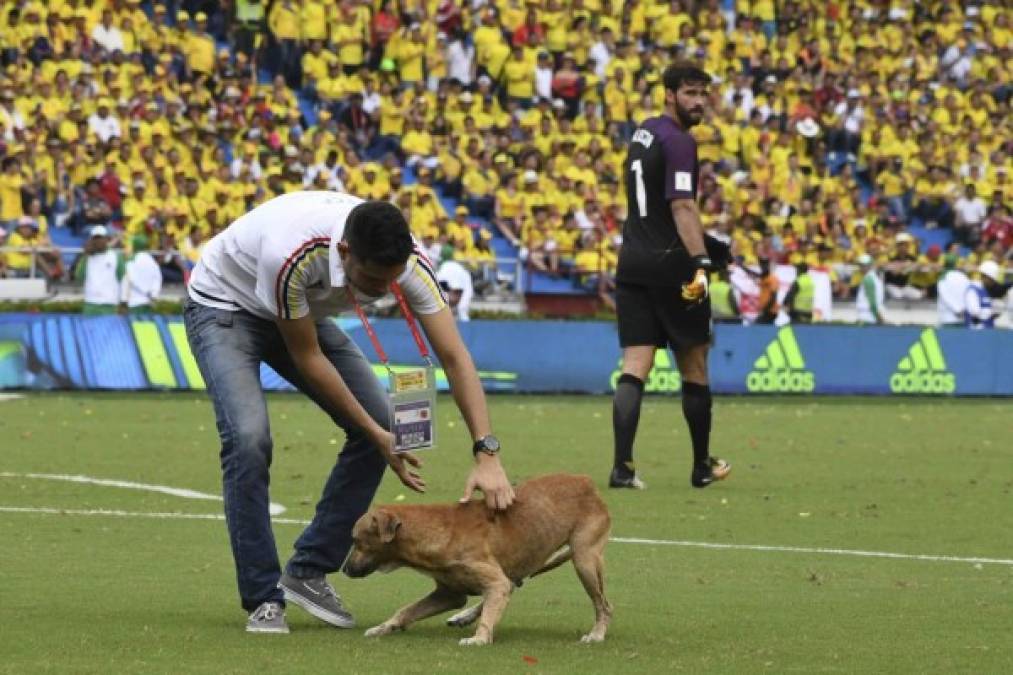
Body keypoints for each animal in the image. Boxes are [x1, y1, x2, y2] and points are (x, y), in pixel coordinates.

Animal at [342, 470, 607, 644]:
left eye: (356, 540)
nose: (345, 570)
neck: (435, 531)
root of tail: (588, 483)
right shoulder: (448, 594)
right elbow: (406, 609)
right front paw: (385, 626)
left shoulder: (493, 581)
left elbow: (493, 601)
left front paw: (480, 637)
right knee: (509, 587)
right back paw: (465, 615)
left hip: (584, 561)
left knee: (604, 605)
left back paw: (597, 633)